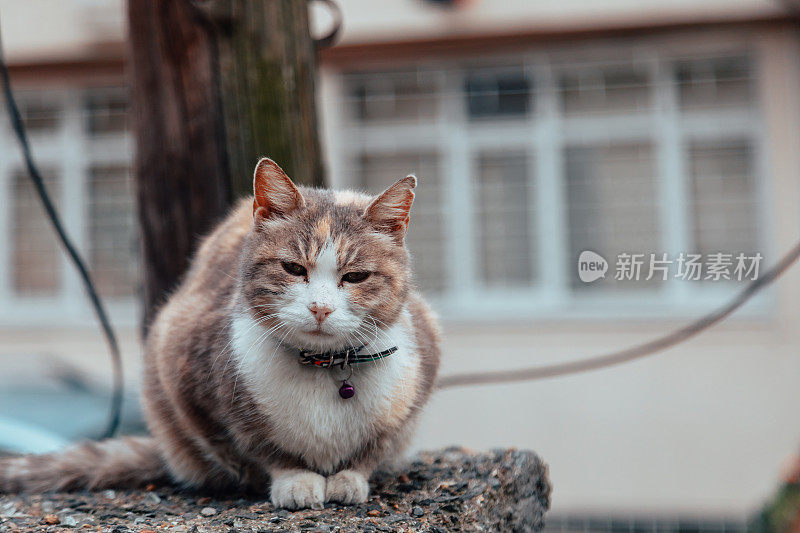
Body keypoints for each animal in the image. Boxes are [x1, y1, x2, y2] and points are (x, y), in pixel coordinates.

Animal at [0, 157, 440, 508]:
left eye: (355, 277)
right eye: (293, 268)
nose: (320, 307)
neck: (325, 368)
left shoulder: (419, 370)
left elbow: (376, 448)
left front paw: (350, 477)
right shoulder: (185, 374)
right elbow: (256, 448)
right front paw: (295, 479)